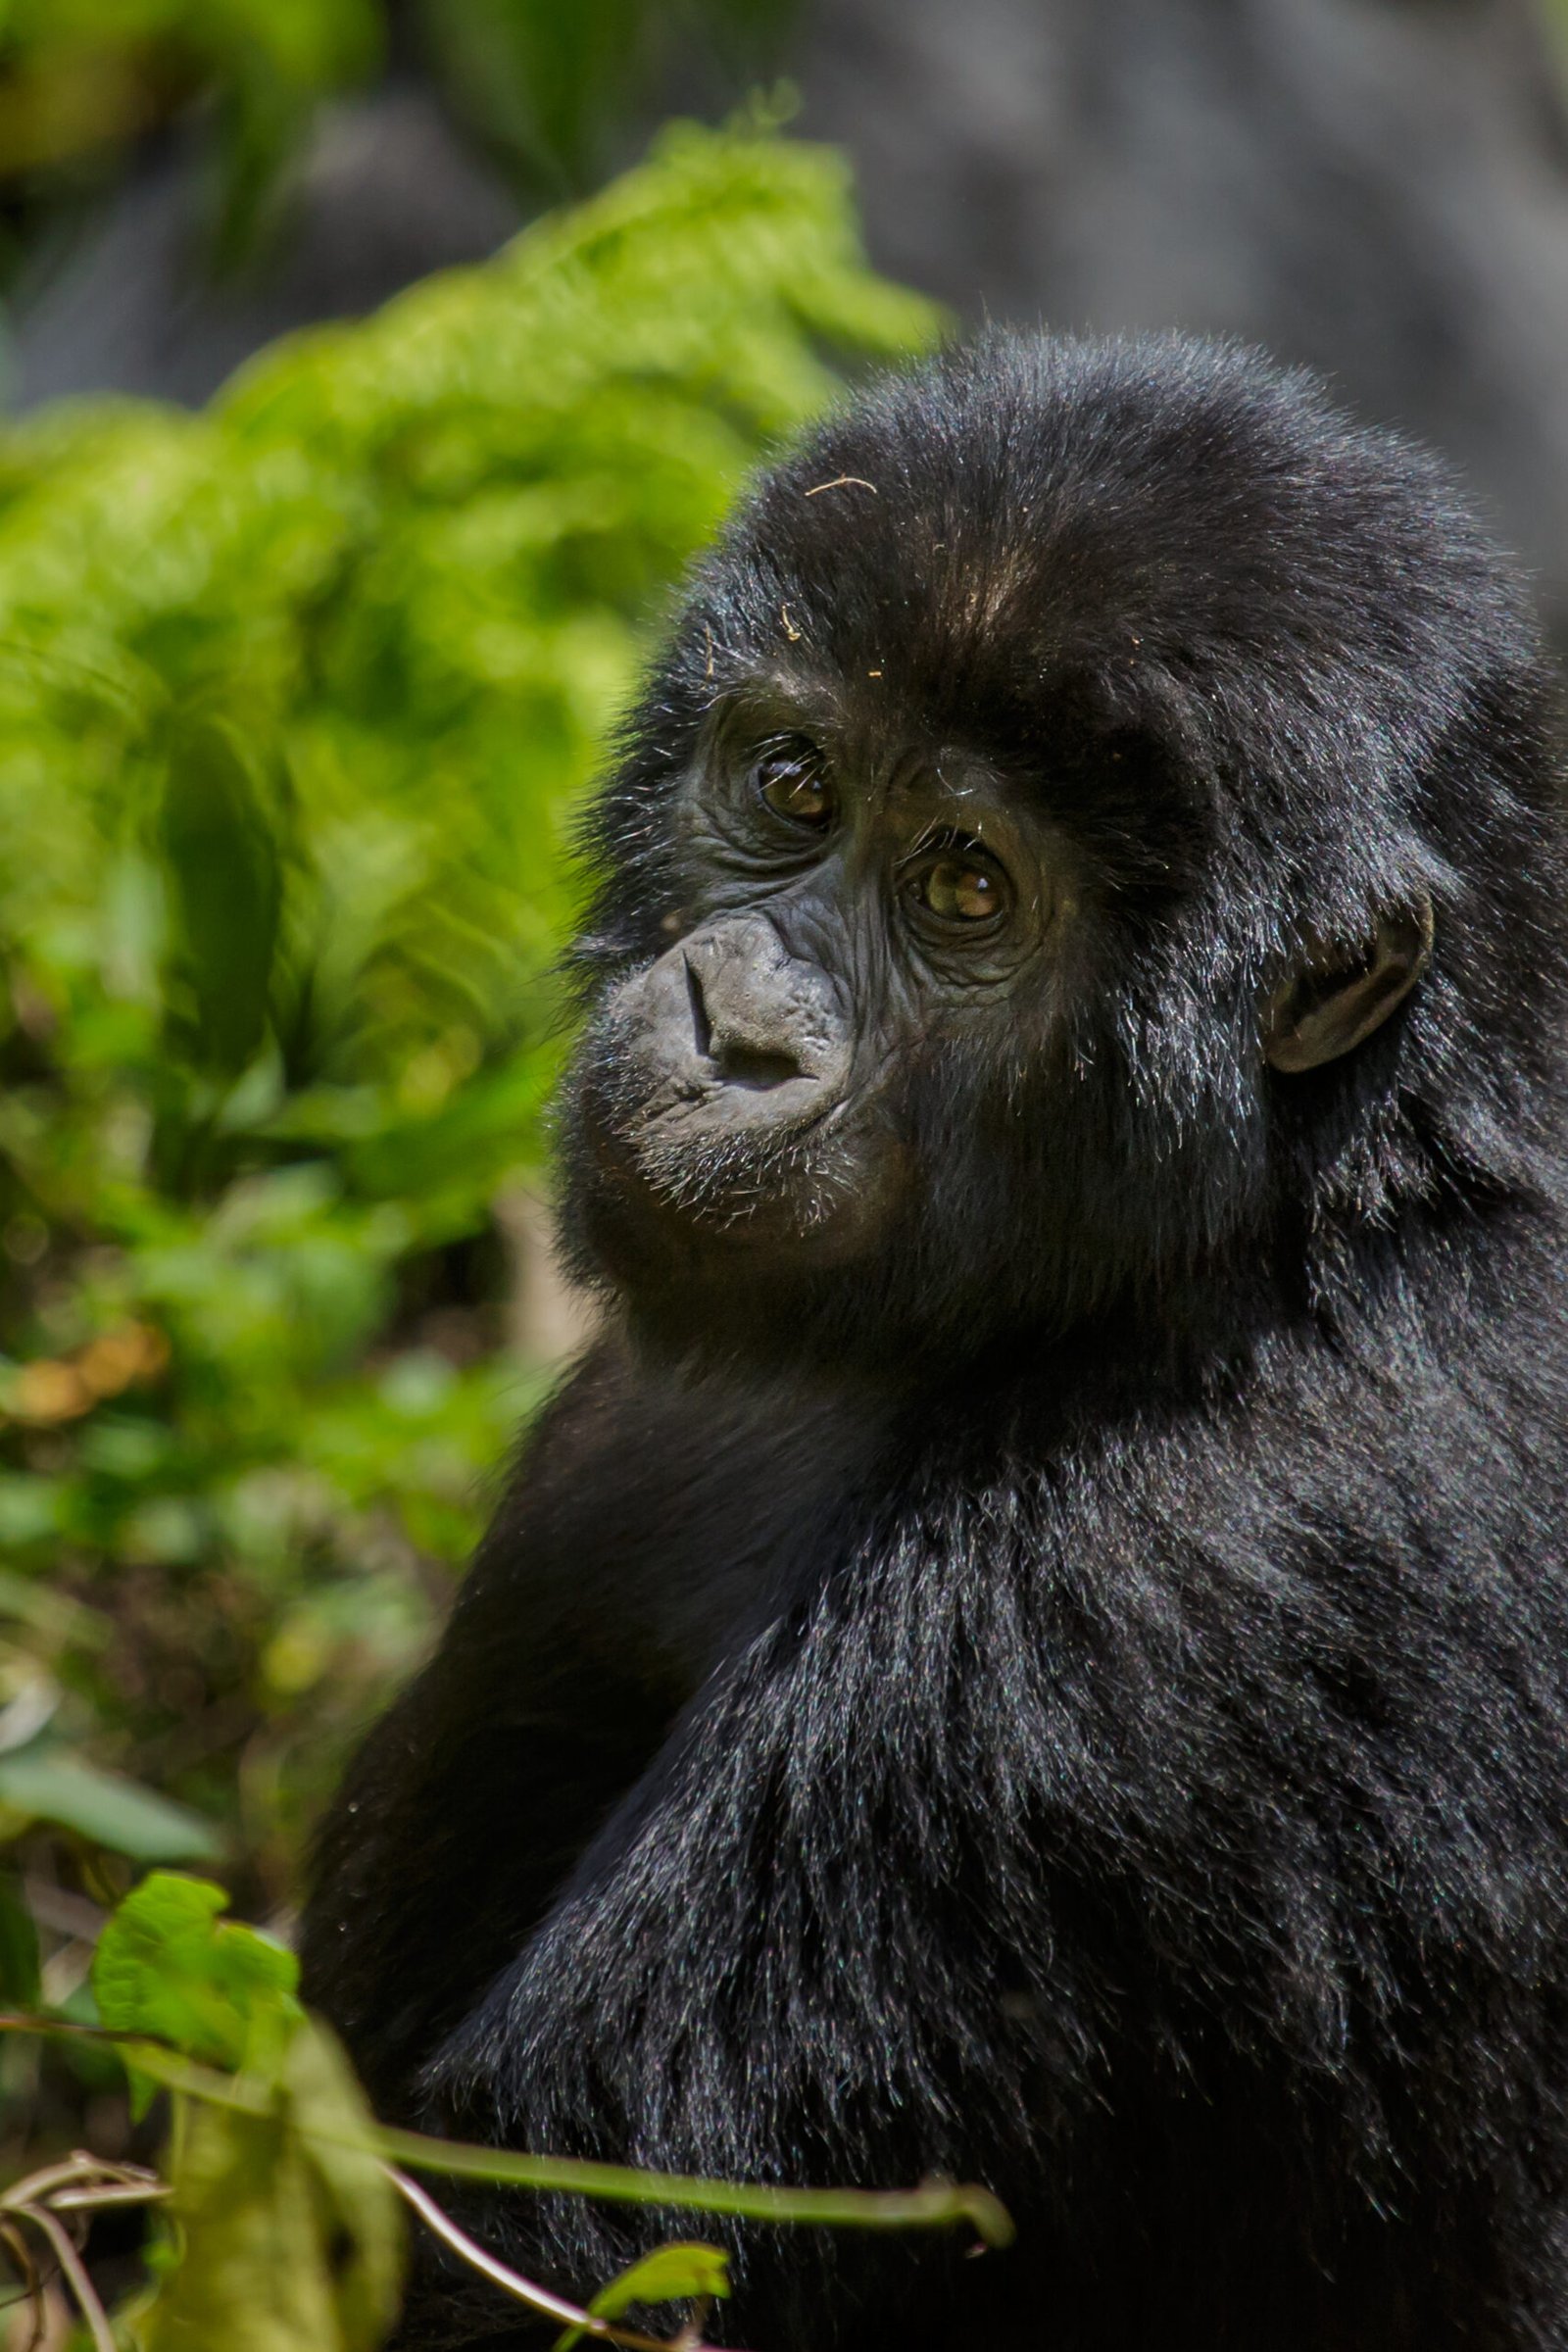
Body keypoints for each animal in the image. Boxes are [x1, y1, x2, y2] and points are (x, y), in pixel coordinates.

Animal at [302, 332, 1568, 2351]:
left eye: (969, 889)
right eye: (792, 784)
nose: (735, 1028)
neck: (1313, 1218)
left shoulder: (1132, 1595)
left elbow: (583, 2250)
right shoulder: (622, 1444)